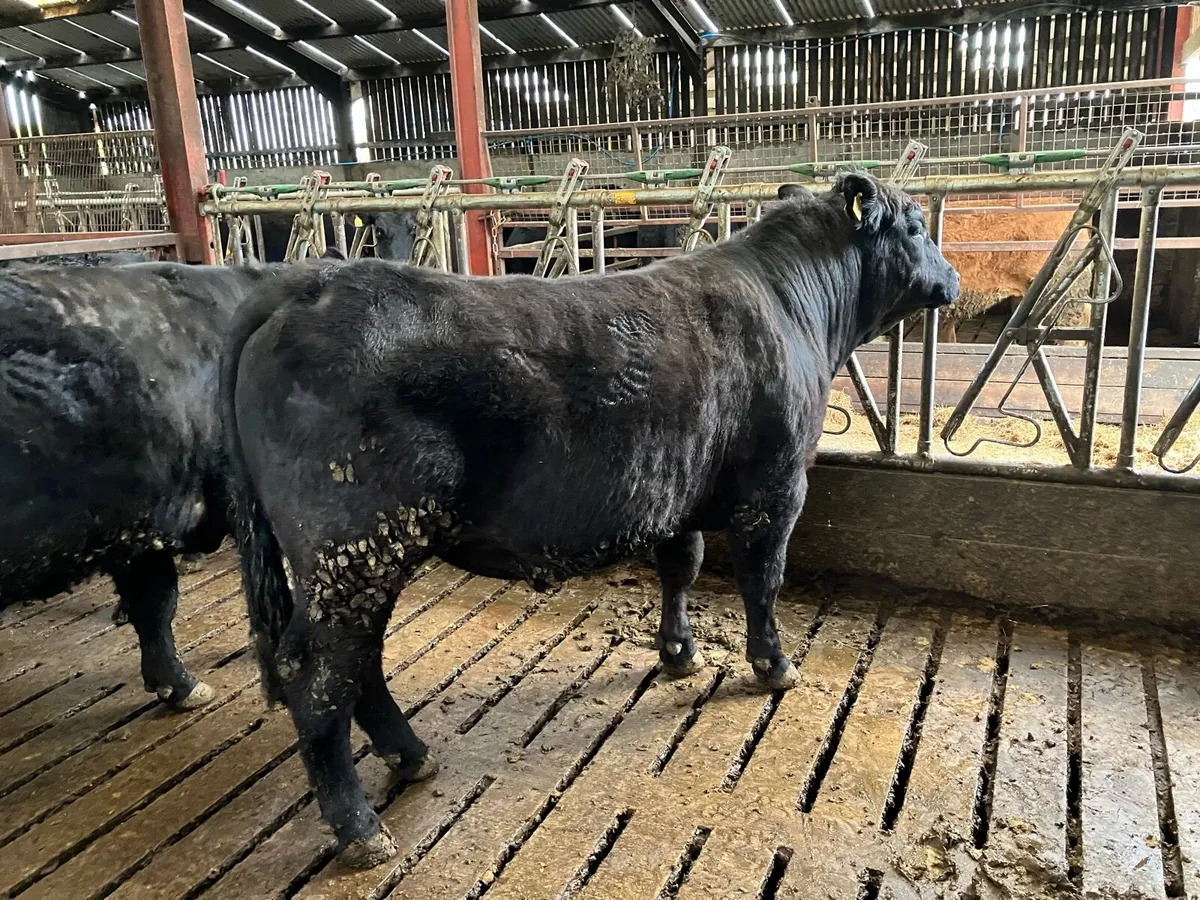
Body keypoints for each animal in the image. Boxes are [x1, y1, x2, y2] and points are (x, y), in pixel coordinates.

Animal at [219, 172, 959, 866]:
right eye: (916, 227)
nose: (951, 278)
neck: (792, 308)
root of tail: (311, 286)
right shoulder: (776, 490)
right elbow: (762, 582)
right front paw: (773, 665)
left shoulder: (677, 487)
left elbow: (680, 568)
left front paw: (679, 653)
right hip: (352, 545)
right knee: (317, 673)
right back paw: (359, 828)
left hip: (363, 557)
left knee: (360, 661)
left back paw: (410, 753)